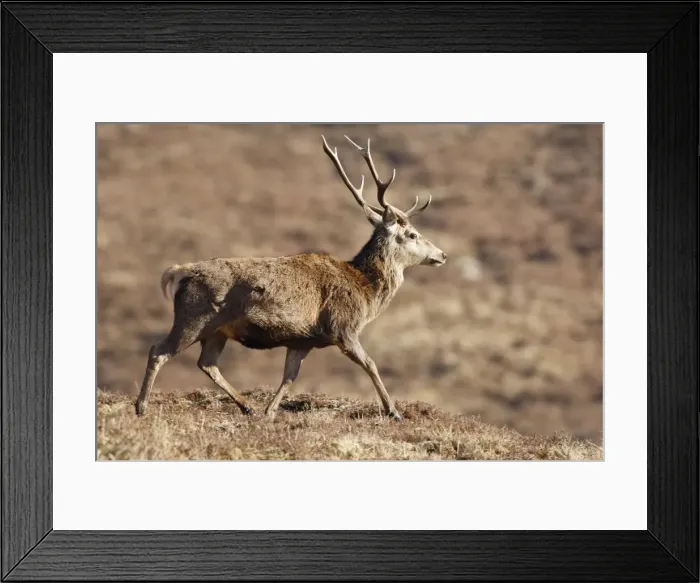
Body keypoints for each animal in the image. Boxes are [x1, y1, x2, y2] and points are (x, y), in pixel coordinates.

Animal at [134, 135, 447, 421]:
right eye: (412, 234)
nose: (442, 254)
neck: (366, 292)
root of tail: (178, 272)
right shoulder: (342, 327)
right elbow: (370, 363)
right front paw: (394, 411)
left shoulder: (302, 340)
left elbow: (289, 377)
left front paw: (270, 411)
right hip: (193, 318)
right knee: (159, 351)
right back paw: (141, 406)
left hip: (217, 330)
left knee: (207, 363)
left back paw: (248, 406)